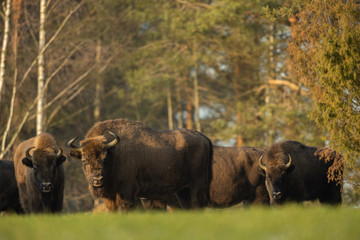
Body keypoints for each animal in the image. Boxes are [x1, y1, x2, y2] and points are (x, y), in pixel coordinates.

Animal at [69, 119, 212, 211]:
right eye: (84, 160)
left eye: (105, 158)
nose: (97, 179)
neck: (114, 152)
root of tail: (203, 137)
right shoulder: (111, 197)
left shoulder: (126, 192)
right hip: (182, 190)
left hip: (196, 186)